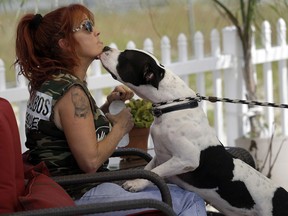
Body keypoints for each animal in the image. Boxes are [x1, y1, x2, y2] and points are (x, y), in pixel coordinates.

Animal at [99, 46, 288, 215]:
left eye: (125, 56)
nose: (105, 47)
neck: (172, 106)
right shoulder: (160, 156)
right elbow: (148, 169)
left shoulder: (186, 159)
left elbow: (155, 172)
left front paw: (136, 183)